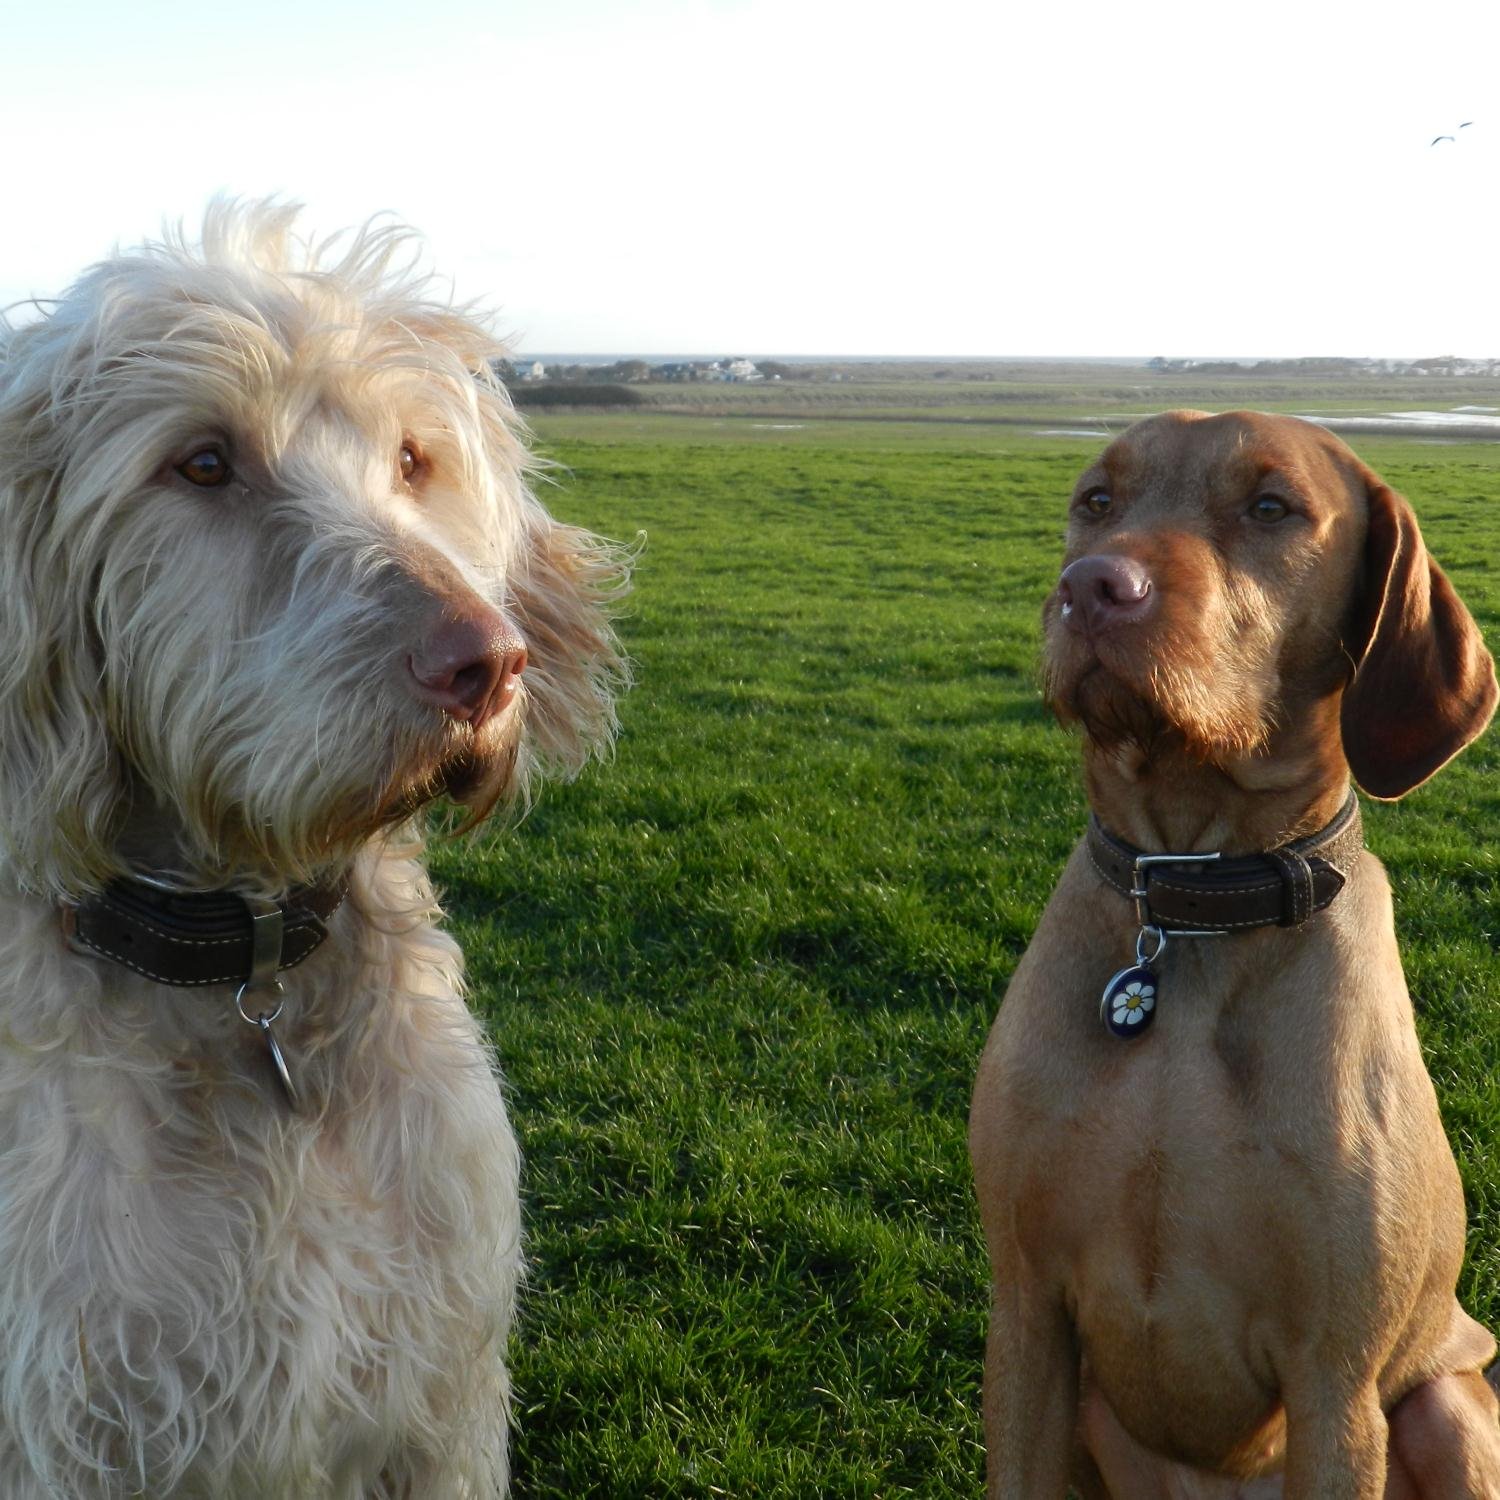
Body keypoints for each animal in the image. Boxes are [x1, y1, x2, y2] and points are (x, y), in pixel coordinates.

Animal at [966, 411, 1500, 1500]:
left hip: (1449, 1408)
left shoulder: (1336, 1380)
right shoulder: (1028, 1311)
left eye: (1271, 507)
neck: (1195, 904)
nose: (1094, 585)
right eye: (1096, 501)